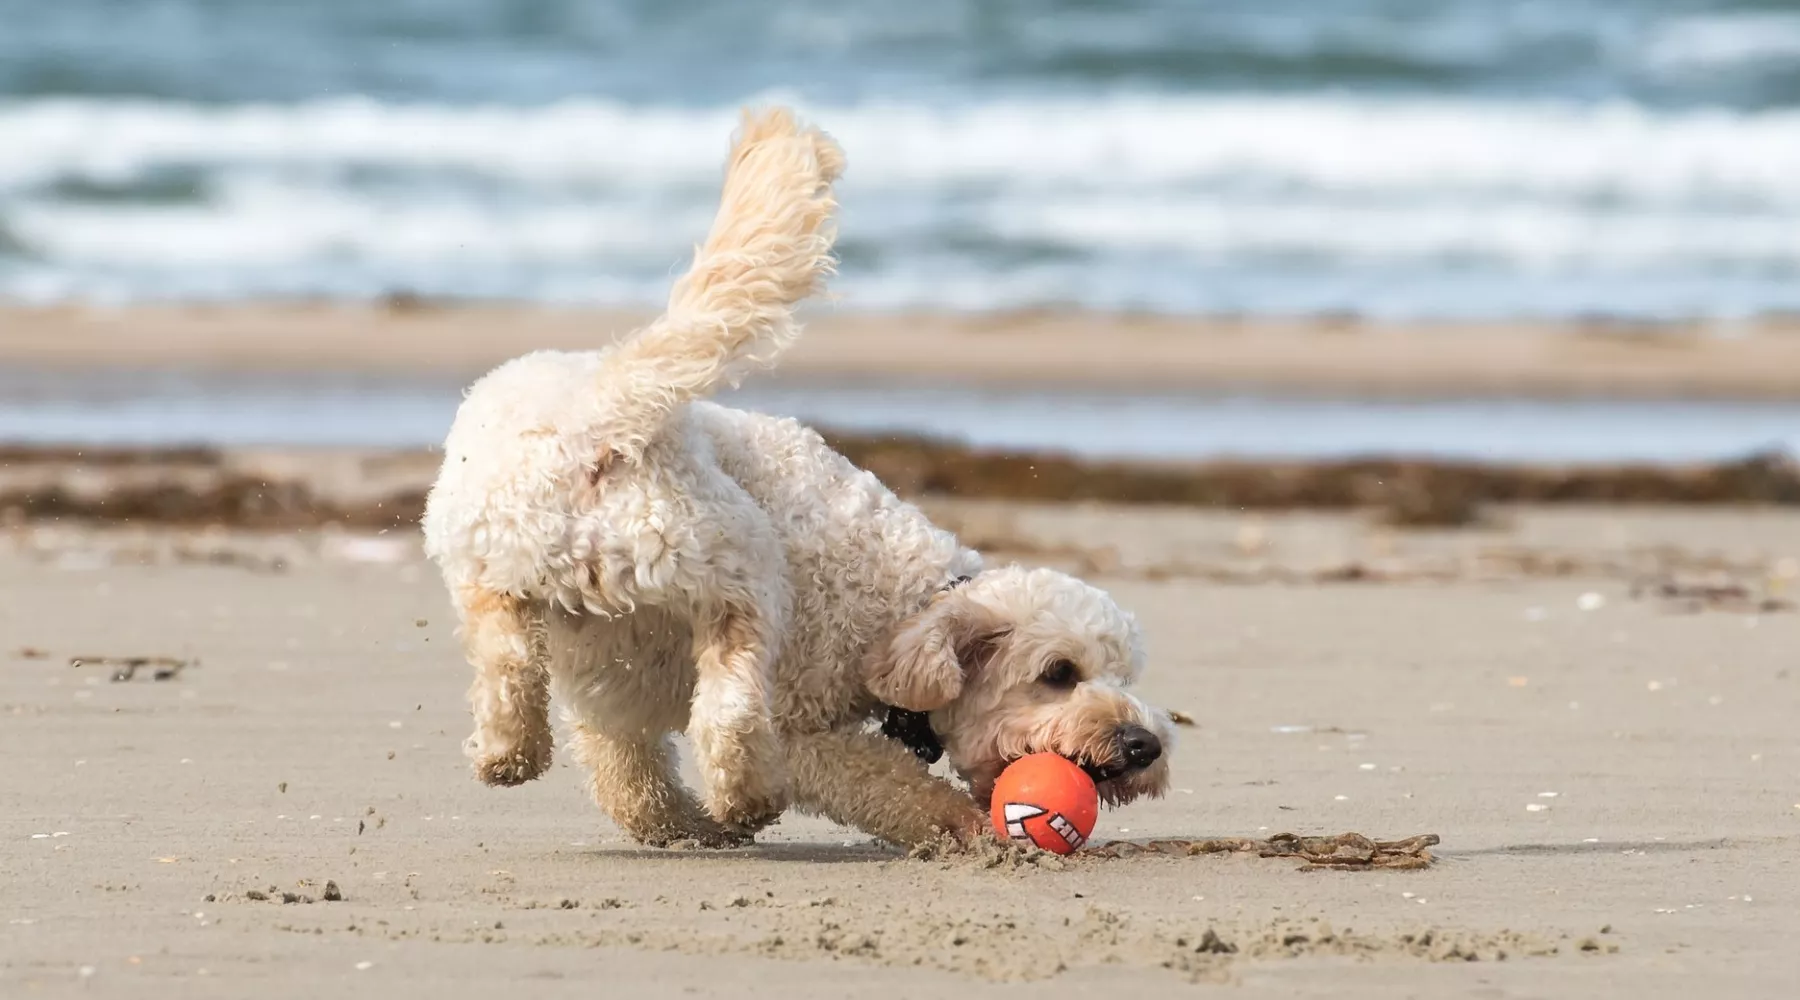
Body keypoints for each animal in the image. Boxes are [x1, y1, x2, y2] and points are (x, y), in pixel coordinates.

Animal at [415, 105, 1173, 848]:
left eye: (1123, 673)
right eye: (1059, 674)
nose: (1145, 745)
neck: (904, 608)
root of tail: (600, 415)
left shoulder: (610, 690)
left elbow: (627, 775)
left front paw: (680, 826)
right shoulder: (802, 722)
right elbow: (889, 784)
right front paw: (963, 826)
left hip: (497, 564)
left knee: (517, 660)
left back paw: (514, 752)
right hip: (740, 567)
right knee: (730, 705)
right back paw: (743, 795)